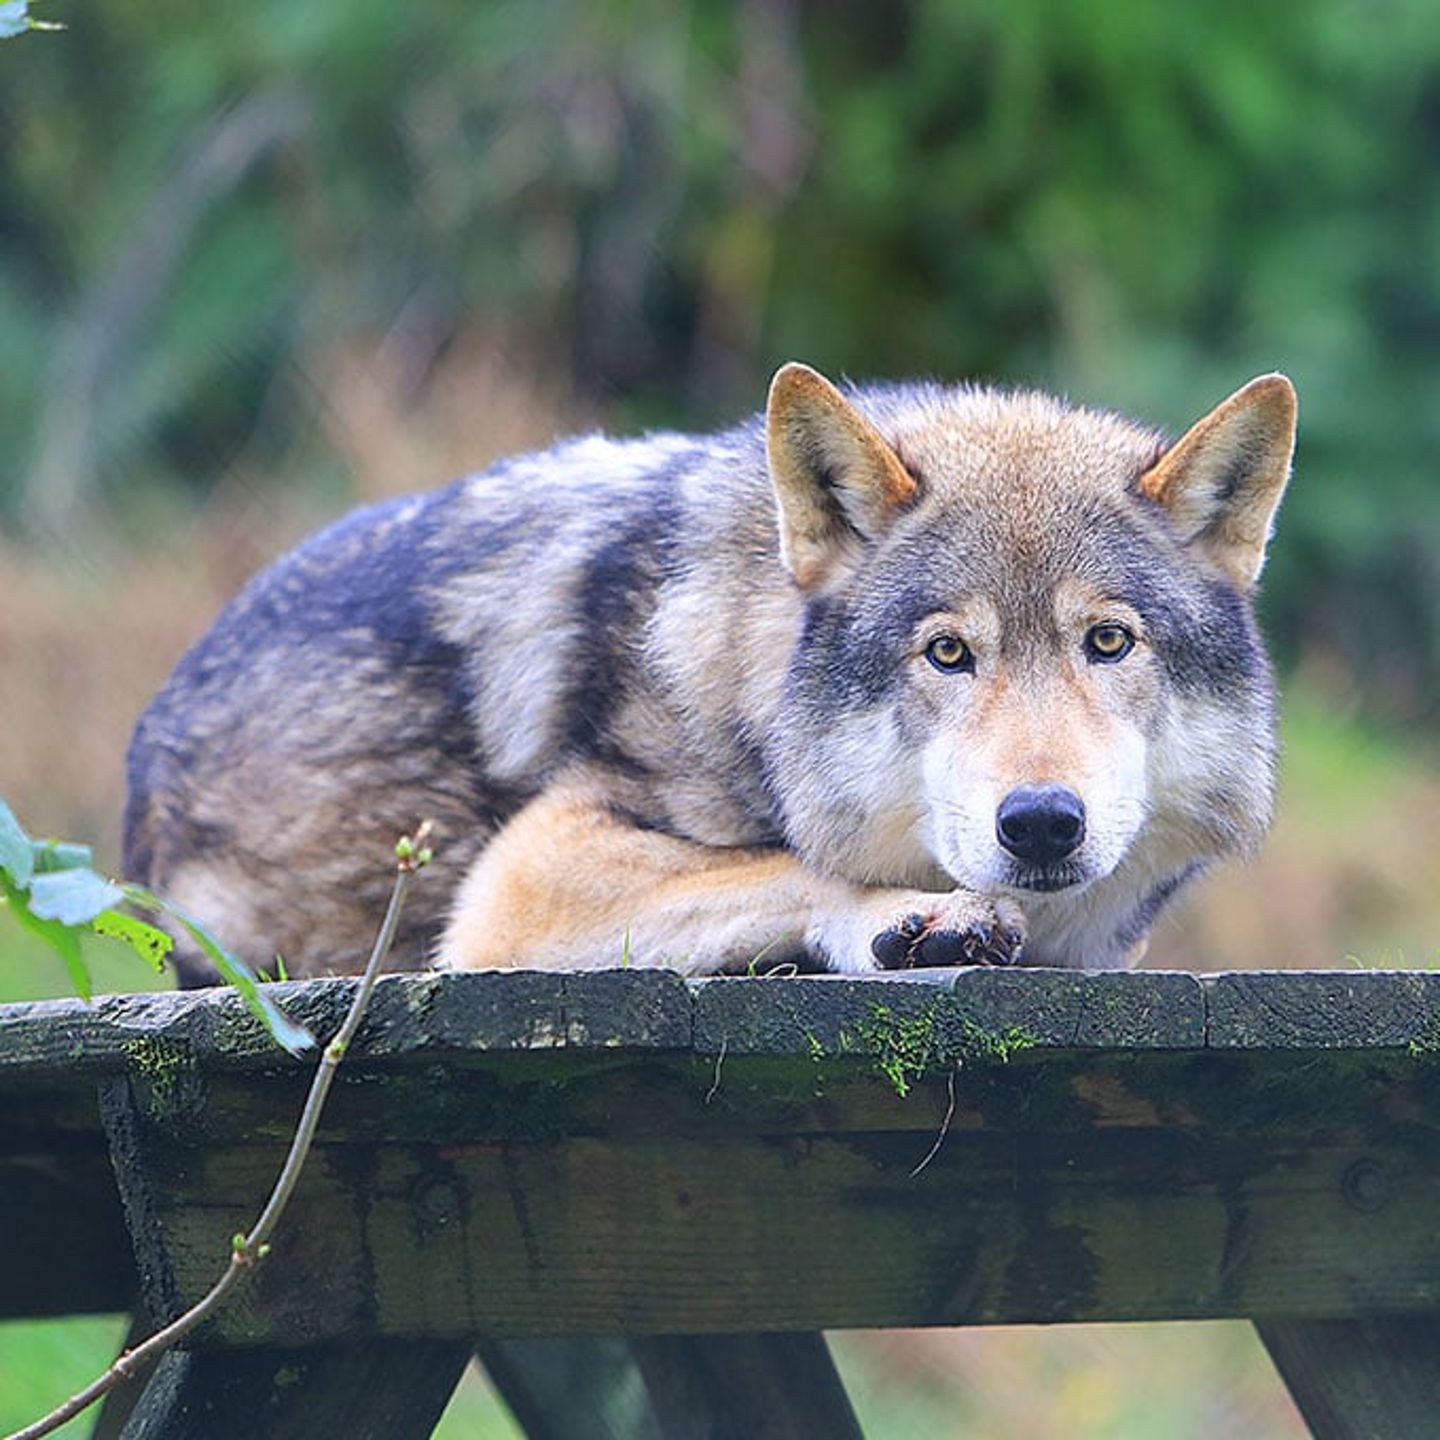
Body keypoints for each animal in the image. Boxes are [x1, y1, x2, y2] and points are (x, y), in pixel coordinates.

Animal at [123, 363, 1296, 984]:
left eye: (1109, 643)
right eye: (948, 654)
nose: (1043, 822)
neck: (754, 684)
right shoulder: (519, 886)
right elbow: (788, 867)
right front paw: (914, 915)